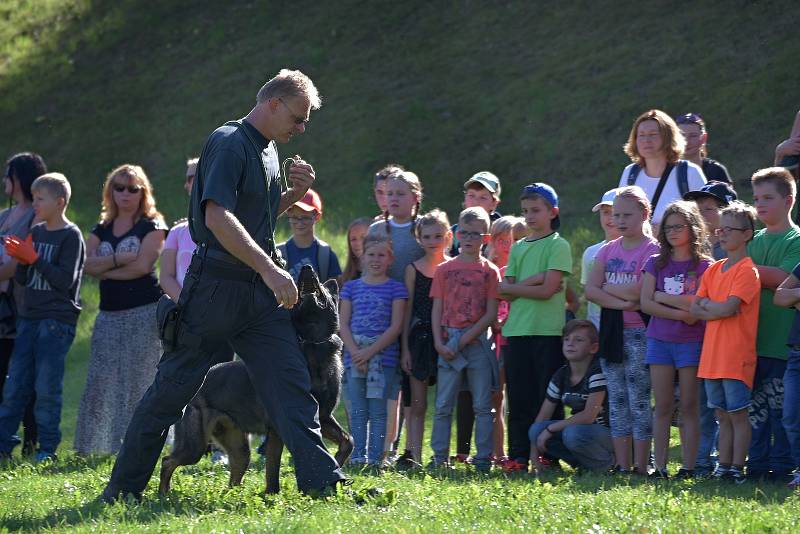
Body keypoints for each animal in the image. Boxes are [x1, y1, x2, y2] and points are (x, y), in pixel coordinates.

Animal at [158, 266, 352, 496]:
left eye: (320, 284)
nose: (306, 268)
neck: (312, 341)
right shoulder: (278, 429)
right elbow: (273, 465)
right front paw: (272, 493)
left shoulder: (323, 417)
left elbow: (348, 440)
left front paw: (337, 463)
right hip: (195, 446)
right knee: (167, 461)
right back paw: (163, 493)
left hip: (240, 450)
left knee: (234, 476)